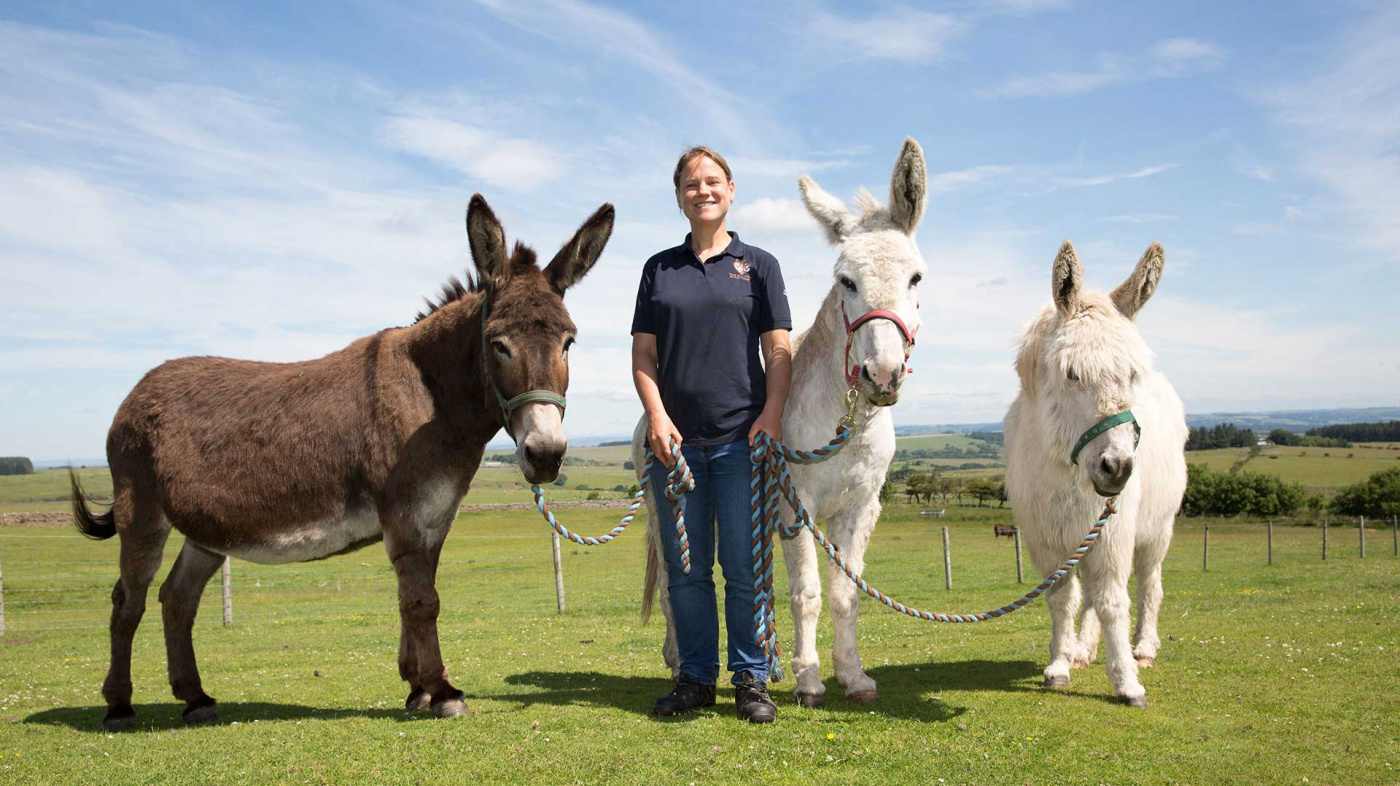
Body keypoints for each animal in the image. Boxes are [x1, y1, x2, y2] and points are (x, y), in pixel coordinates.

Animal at [68, 194, 610, 728]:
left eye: (568, 342)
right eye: (499, 344)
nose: (546, 455)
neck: (429, 397)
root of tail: (137, 391)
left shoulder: (436, 519)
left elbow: (415, 598)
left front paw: (417, 687)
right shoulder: (405, 516)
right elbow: (422, 601)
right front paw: (443, 692)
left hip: (206, 531)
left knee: (177, 600)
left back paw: (195, 698)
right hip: (142, 512)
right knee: (128, 600)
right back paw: (118, 705)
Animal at [1002, 238, 1187, 706]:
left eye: (1132, 374)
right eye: (1071, 374)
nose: (1117, 468)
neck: (1068, 473)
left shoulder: (1113, 533)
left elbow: (1113, 602)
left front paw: (1126, 682)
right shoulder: (1047, 538)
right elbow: (1061, 600)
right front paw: (1059, 664)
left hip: (1156, 532)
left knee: (1149, 585)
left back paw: (1143, 649)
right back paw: (1082, 649)